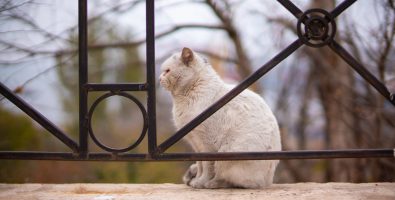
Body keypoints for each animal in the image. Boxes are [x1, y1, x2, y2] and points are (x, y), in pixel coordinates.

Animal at [159, 47, 284, 188]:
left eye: (167, 71)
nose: (159, 78)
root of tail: (269, 181)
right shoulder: (195, 143)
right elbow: (200, 165)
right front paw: (196, 181)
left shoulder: (206, 144)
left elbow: (207, 167)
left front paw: (200, 182)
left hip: (226, 153)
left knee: (230, 180)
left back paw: (211, 184)